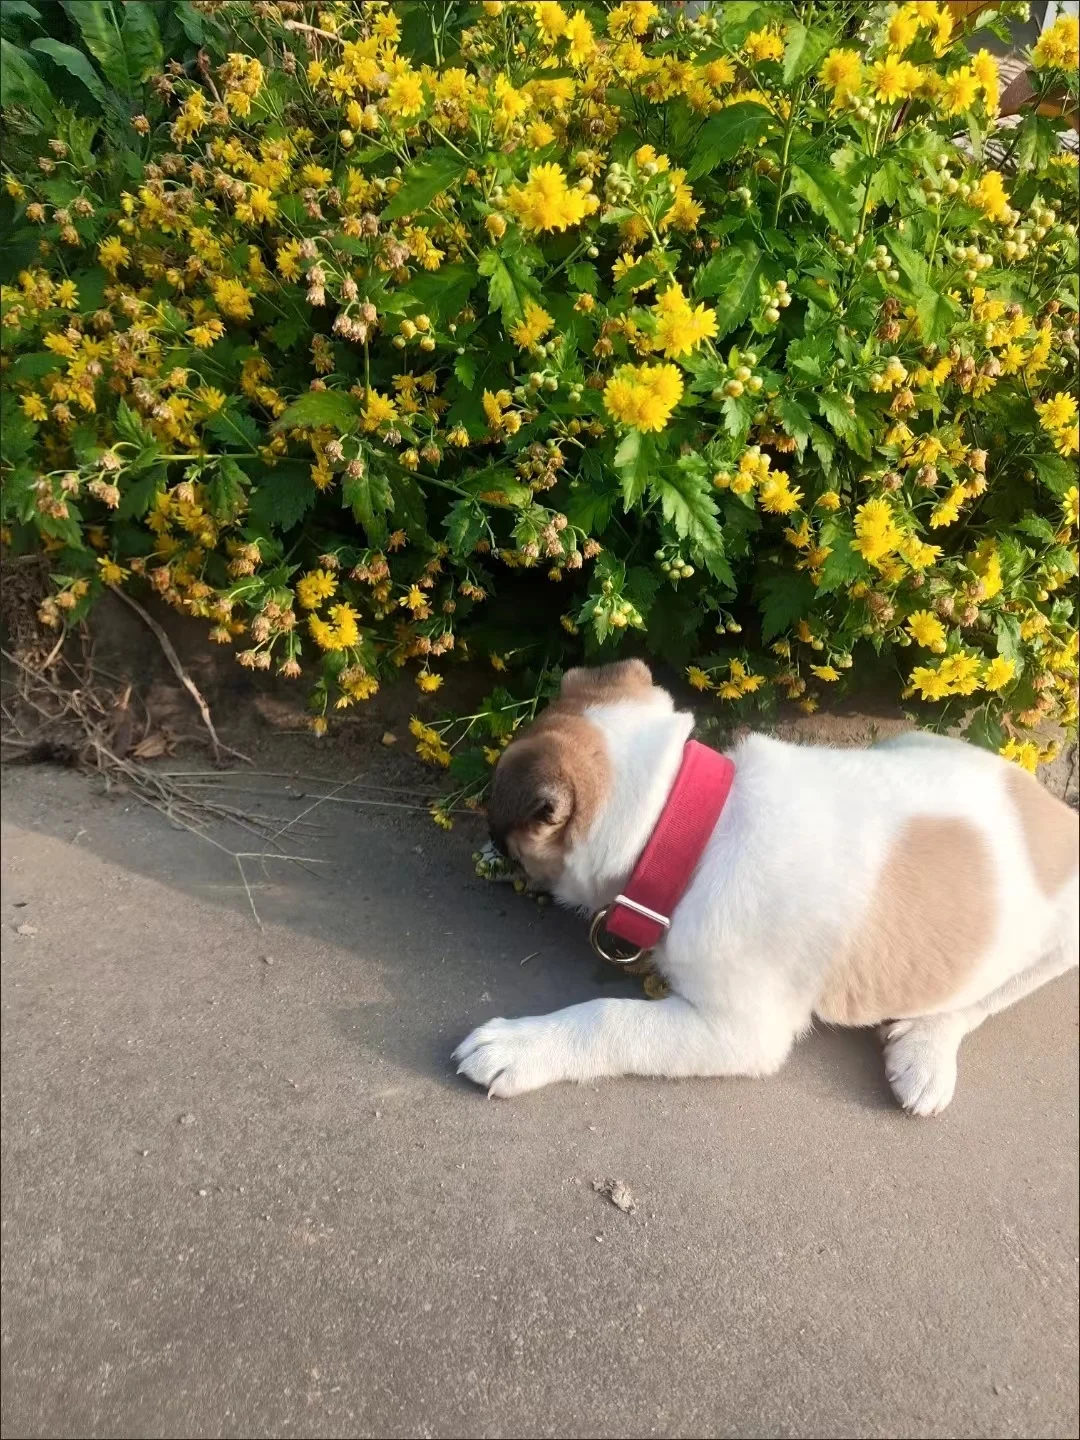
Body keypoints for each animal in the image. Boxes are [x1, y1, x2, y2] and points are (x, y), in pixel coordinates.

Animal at [453, 660, 1078, 1113]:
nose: (481, 845)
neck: (689, 825)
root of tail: (1056, 810)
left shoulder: (739, 1030)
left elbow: (609, 1018)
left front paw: (520, 1047)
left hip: (1057, 942)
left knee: (984, 999)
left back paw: (925, 1053)